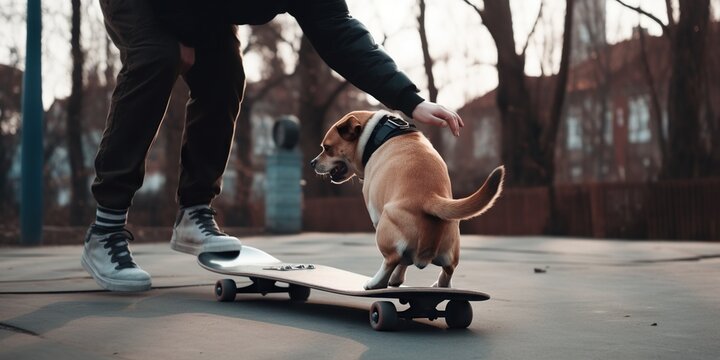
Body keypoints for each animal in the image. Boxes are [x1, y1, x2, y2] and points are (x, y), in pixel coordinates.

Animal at [310, 109, 506, 290]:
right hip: (451, 247)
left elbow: (399, 259)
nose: (312, 162)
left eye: (327, 148)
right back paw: (439, 284)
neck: (376, 133)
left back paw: (375, 283)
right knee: (448, 269)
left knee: (391, 259)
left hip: (384, 227)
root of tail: (429, 197)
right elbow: (406, 261)